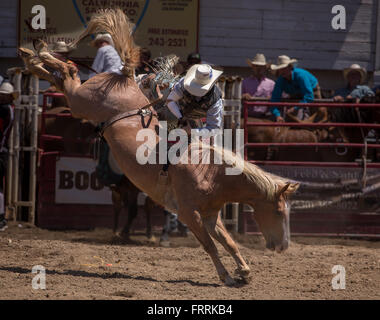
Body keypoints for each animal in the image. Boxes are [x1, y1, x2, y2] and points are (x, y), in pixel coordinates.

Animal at [22, 9, 300, 284]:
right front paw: (226, 276)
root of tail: (126, 76)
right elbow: (209, 245)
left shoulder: (211, 215)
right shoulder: (188, 213)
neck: (210, 172)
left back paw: (34, 57)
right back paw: (40, 53)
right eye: (279, 212)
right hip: (82, 102)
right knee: (68, 75)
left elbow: (229, 241)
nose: (283, 247)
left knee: (62, 78)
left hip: (81, 102)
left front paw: (244, 271)